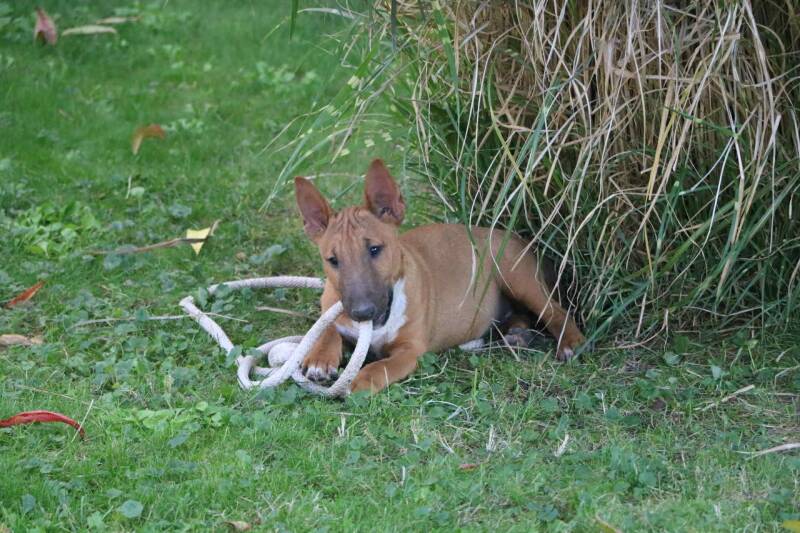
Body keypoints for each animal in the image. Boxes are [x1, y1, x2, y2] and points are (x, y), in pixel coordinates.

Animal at [294, 159, 586, 393]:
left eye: (375, 249)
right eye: (333, 260)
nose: (363, 313)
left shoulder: (410, 350)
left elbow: (381, 367)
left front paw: (360, 382)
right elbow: (326, 330)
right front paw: (320, 360)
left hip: (516, 277)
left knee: (557, 311)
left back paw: (569, 343)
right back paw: (515, 334)